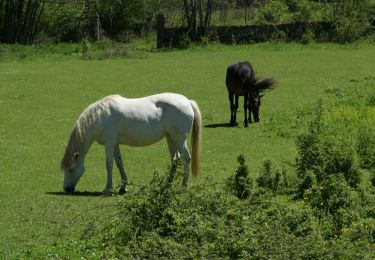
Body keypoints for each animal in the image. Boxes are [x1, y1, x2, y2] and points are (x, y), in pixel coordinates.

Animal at [61, 93, 203, 193]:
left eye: (71, 169)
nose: (66, 189)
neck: (100, 117)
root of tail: (188, 102)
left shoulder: (109, 143)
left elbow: (109, 165)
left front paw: (107, 188)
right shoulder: (115, 144)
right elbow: (119, 163)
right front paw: (123, 187)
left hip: (180, 139)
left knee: (186, 158)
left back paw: (184, 186)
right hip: (171, 138)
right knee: (175, 159)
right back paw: (168, 184)